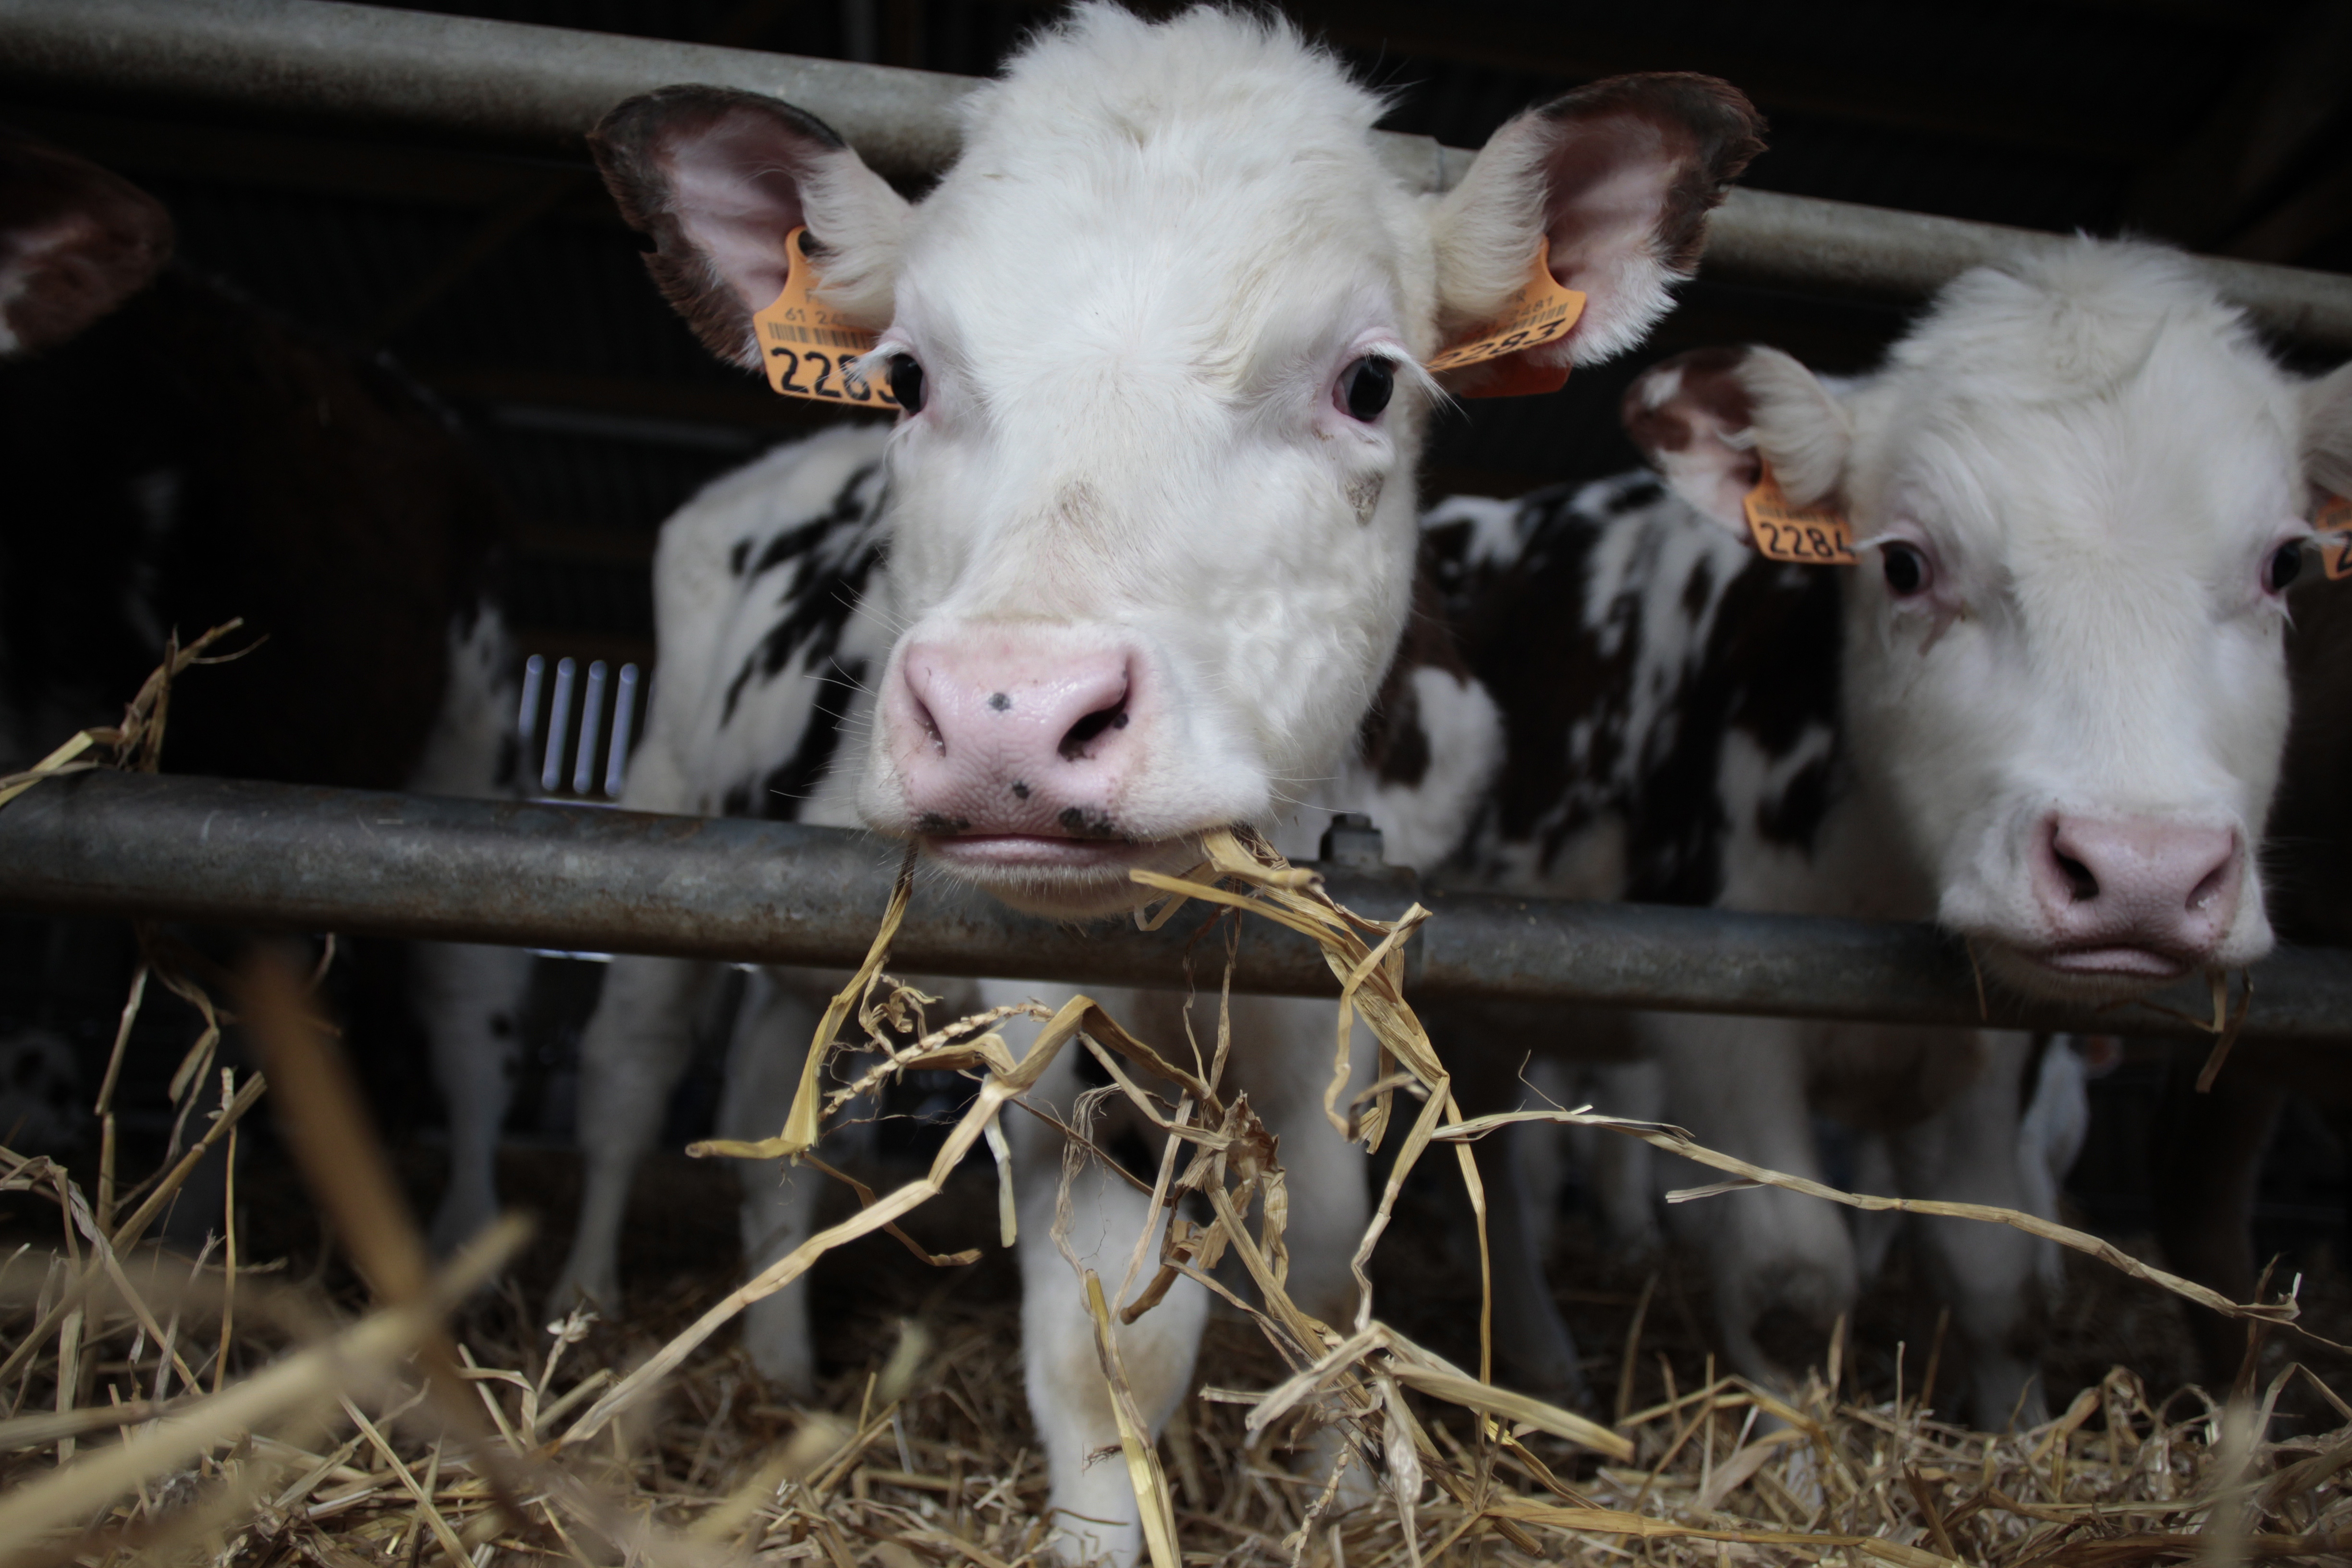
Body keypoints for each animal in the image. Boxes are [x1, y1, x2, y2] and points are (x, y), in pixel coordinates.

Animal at [429, 7, 1760, 1560]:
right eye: (906, 377)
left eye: (1368, 379)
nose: (1008, 715)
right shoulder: (1043, 1003)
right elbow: (1102, 1335)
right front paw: (1100, 1520)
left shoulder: (1347, 977)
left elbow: (1327, 1254)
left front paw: (1345, 1484)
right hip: (660, 817)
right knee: (631, 1073)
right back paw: (587, 1315)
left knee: (768, 1104)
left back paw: (781, 1363)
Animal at [1423, 237, 2351, 1431]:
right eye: (1904, 562)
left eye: (2284, 564)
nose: (2142, 872)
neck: (1879, 883)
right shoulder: (1717, 1011)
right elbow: (1792, 1279)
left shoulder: (1999, 1045)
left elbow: (1997, 1282)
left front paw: (2017, 1433)